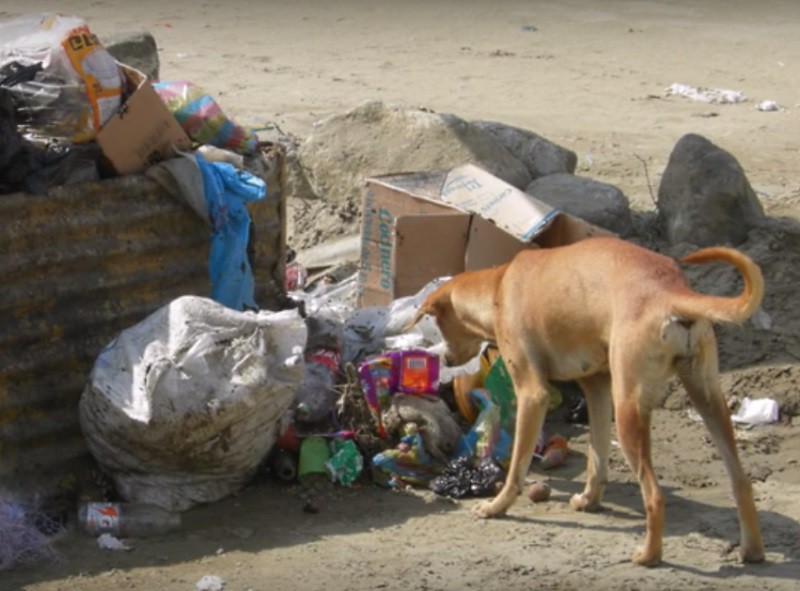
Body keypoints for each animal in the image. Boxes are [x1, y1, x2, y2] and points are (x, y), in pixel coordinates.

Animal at [410, 237, 764, 568]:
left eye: (438, 324)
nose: (445, 359)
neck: (499, 285)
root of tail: (669, 291)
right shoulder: (597, 389)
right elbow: (597, 458)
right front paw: (590, 500)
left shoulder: (532, 394)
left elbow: (517, 468)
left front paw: (497, 506)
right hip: (707, 400)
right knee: (741, 482)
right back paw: (752, 550)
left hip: (629, 412)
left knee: (654, 495)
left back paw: (649, 555)